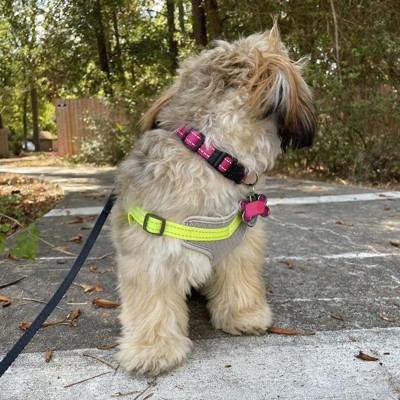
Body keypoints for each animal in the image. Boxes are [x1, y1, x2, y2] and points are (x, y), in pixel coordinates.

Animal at [110, 22, 316, 376]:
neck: (210, 154)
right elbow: (151, 304)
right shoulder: (150, 253)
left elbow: (240, 282)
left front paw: (244, 316)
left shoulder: (240, 246)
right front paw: (153, 349)